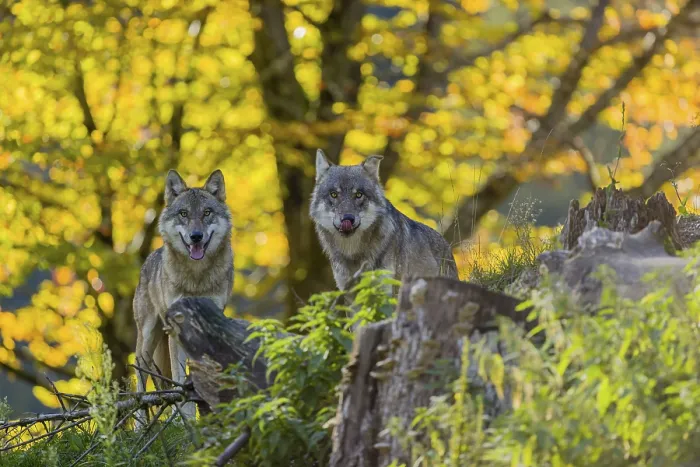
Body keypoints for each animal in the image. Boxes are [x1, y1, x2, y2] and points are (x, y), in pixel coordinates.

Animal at [133, 169, 234, 426]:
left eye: (206, 212)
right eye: (184, 213)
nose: (196, 236)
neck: (196, 278)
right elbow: (179, 379)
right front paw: (184, 421)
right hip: (147, 339)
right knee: (139, 378)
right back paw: (140, 424)